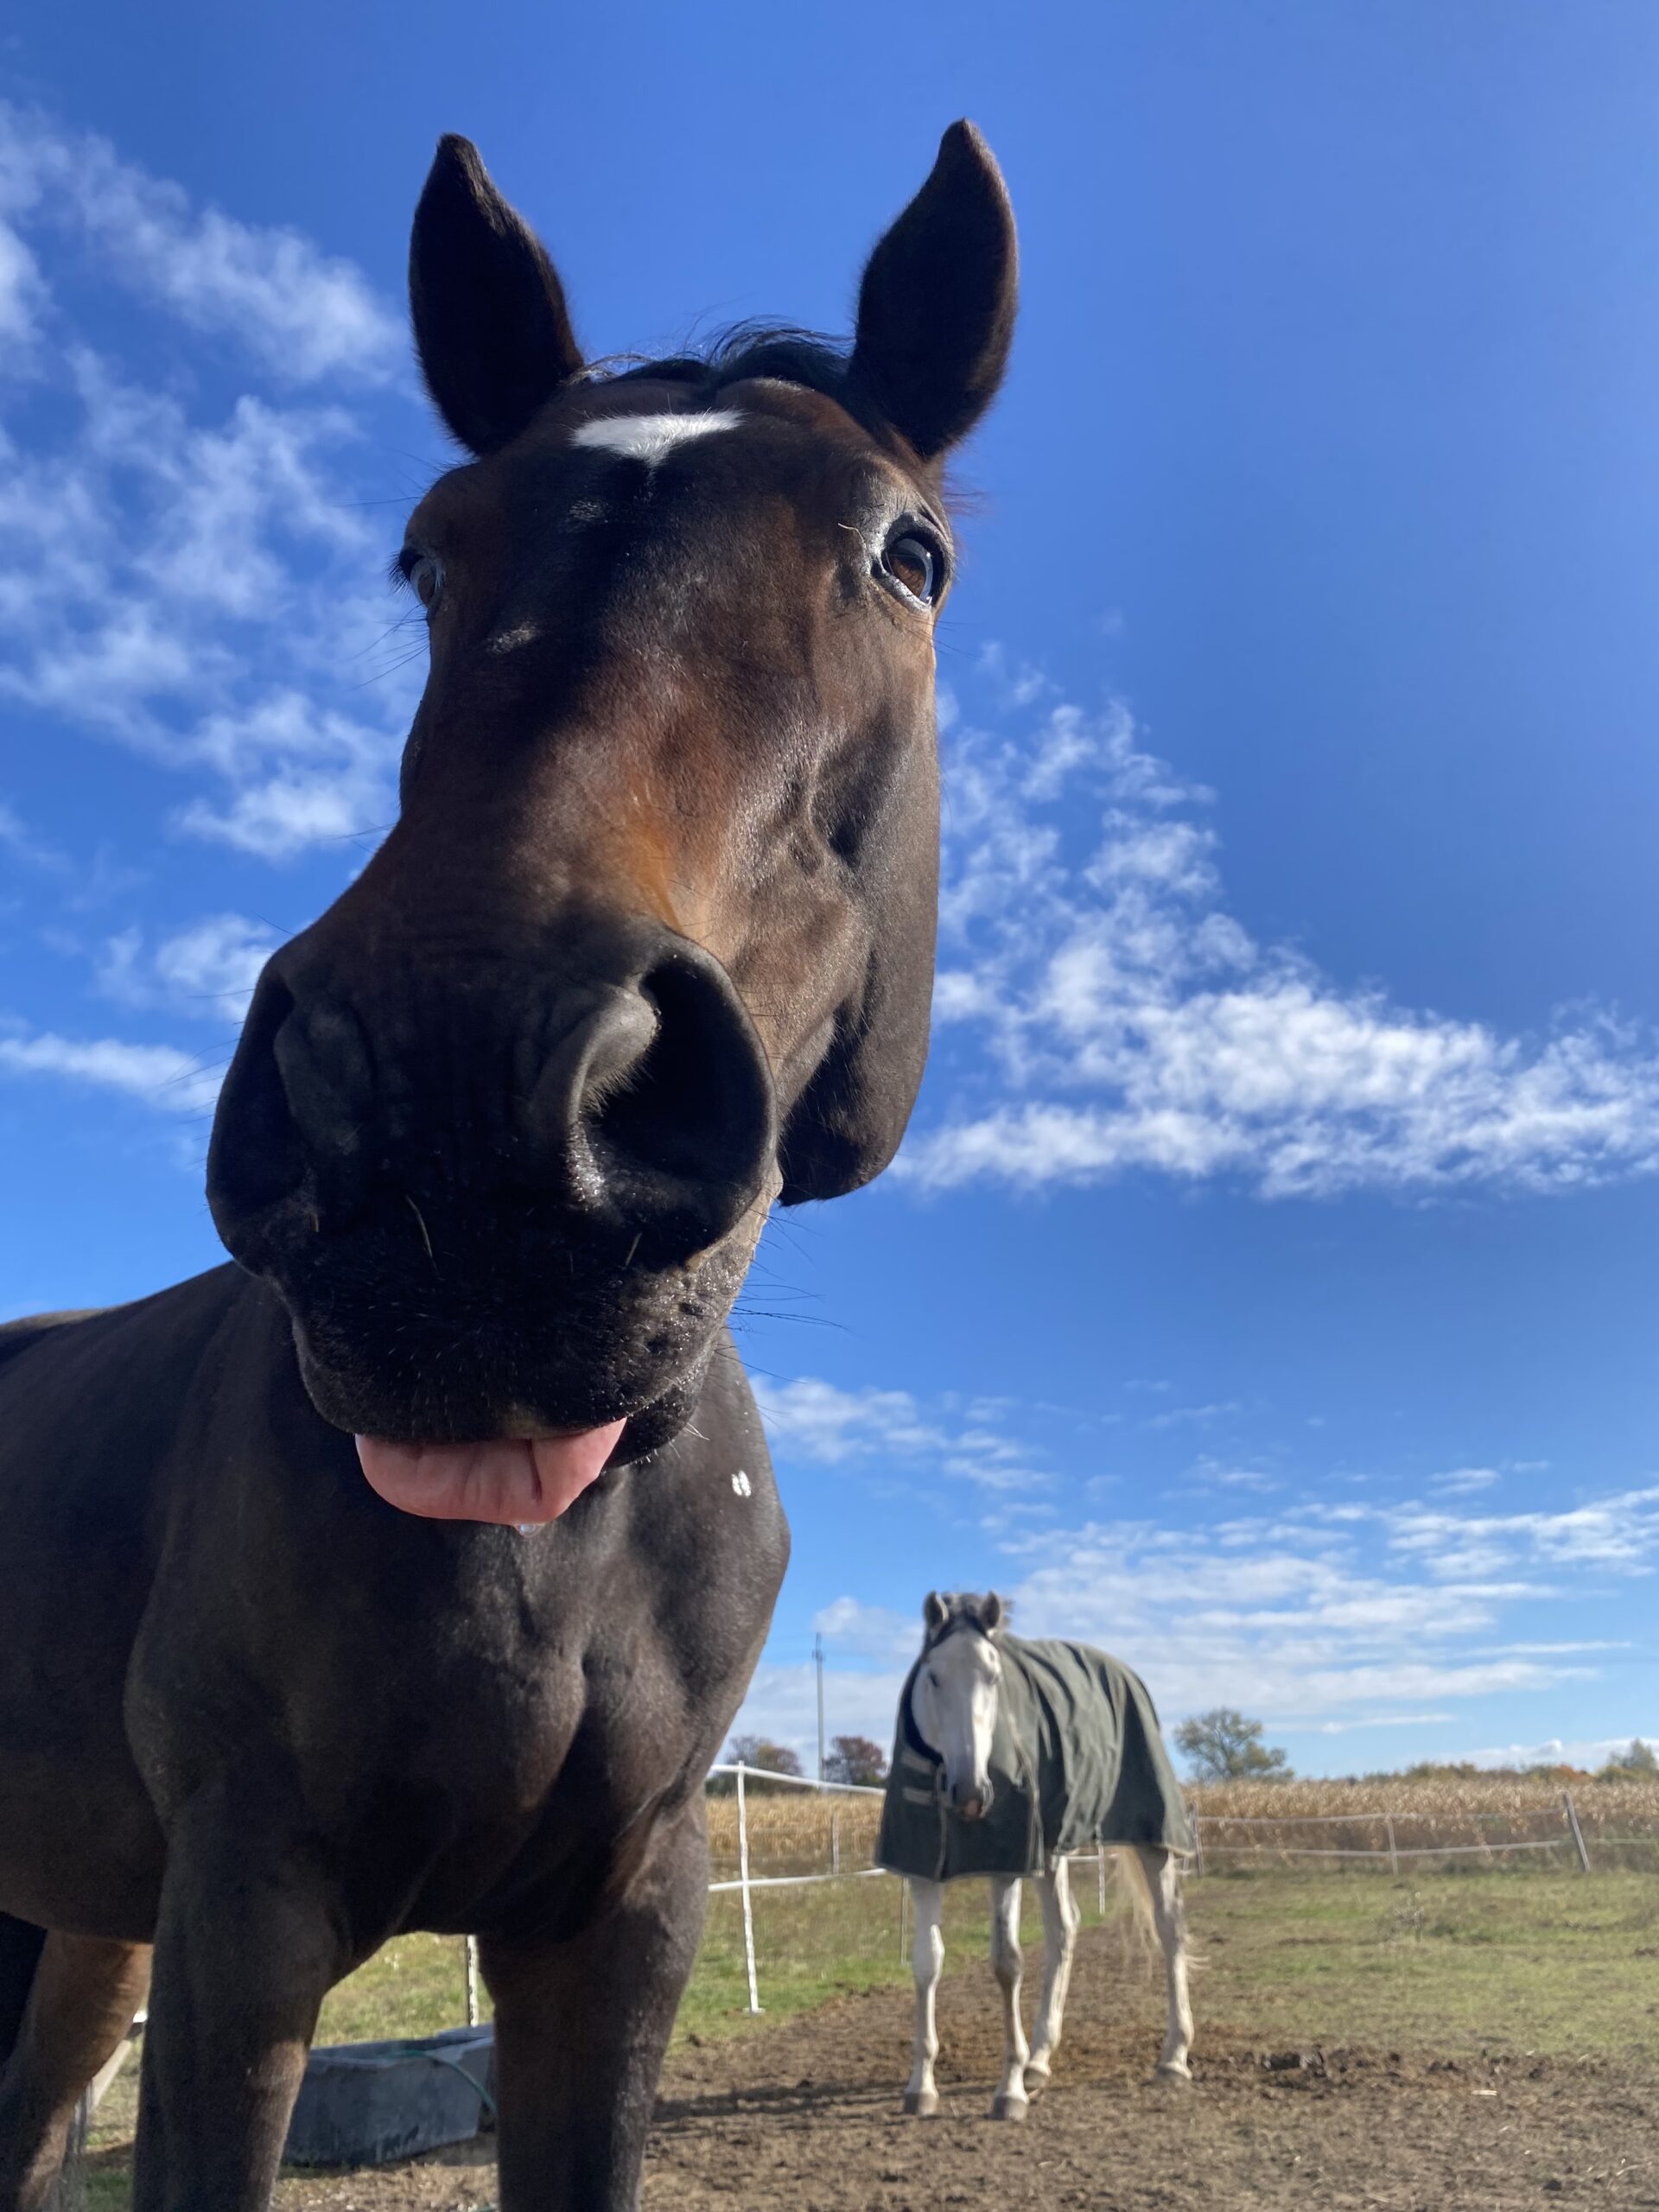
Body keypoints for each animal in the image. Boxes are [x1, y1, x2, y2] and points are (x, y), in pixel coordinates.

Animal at [0, 124, 1017, 2212]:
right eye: (429, 552)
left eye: (910, 554)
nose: (450, 1096)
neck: (539, 1528)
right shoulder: (240, 1917)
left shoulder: (617, 1918)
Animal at [878, 1593, 1195, 2121]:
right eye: (934, 1676)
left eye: (994, 1676)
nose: (972, 1794)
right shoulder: (923, 1869)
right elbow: (927, 1963)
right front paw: (921, 2085)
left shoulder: (1006, 1865)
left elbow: (1007, 1964)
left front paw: (1009, 2091)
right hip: (1052, 1849)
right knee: (1064, 1929)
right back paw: (1041, 2059)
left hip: (1153, 1838)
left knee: (1169, 1928)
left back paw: (1173, 2056)